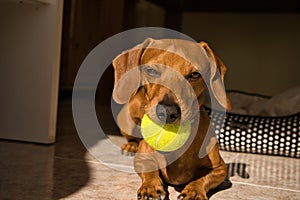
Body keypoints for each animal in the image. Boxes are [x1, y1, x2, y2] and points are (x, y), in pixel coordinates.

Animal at [112, 38, 230, 199]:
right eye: (151, 70)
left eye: (195, 74)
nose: (168, 111)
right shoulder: (143, 158)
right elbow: (150, 170)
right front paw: (150, 187)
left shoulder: (220, 168)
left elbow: (203, 178)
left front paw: (194, 191)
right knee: (131, 138)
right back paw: (131, 146)